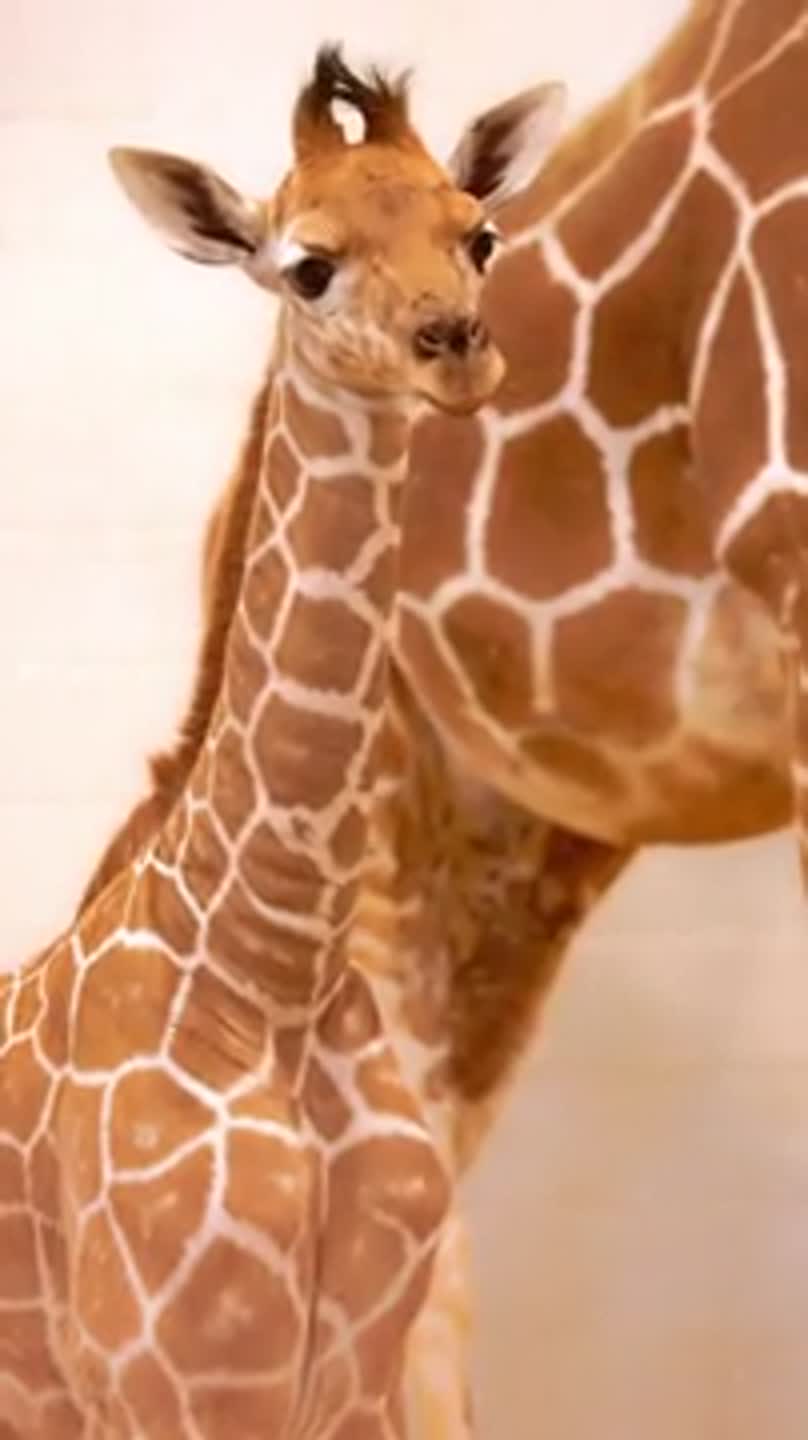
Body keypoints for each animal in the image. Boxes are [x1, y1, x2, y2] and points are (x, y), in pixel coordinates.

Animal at [0, 48, 566, 1439]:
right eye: (306, 264)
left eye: (477, 233)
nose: (454, 347)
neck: (278, 962)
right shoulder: (169, 1384)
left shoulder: (353, 1376)